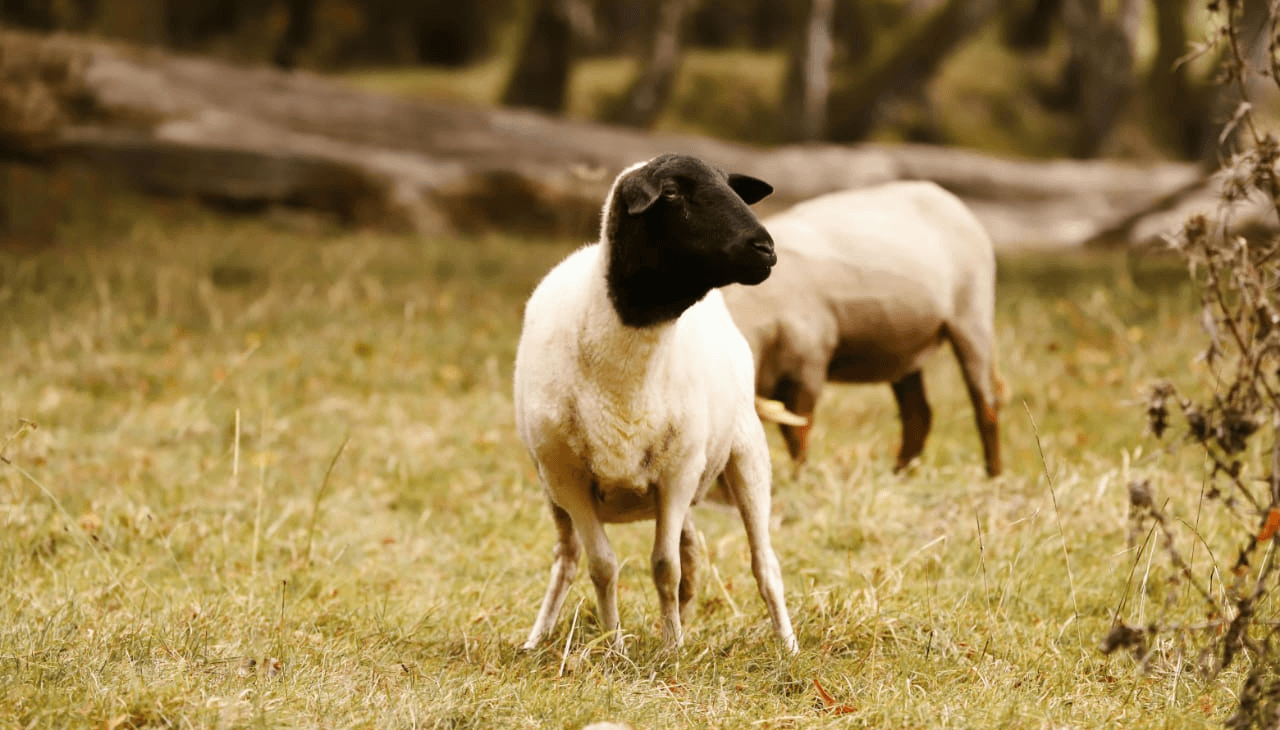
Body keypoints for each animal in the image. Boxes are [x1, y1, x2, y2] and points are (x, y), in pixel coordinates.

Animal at [513, 153, 798, 654]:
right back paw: (537, 639)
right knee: (569, 557)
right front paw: (615, 647)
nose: (765, 249)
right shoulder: (569, 480)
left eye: (730, 186)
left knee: (763, 562)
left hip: (745, 449)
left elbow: (665, 566)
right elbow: (603, 566)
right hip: (554, 487)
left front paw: (671, 649)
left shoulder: (677, 473)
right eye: (671, 192)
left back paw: (787, 646)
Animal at [724, 181, 1003, 477]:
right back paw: (899, 475)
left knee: (986, 403)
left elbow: (798, 430)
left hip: (972, 314)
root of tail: (944, 196)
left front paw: (802, 476)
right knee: (918, 415)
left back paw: (993, 475)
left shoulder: (809, 362)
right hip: (903, 345)